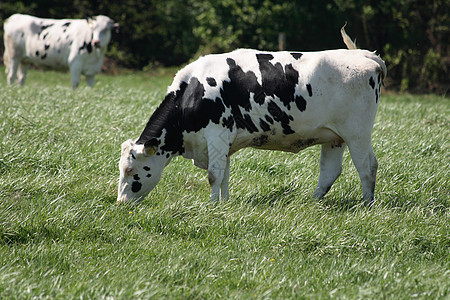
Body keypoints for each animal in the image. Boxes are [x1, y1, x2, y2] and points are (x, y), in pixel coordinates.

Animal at [117, 28, 386, 205]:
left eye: (130, 170)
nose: (120, 203)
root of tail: (363, 55)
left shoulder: (217, 133)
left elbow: (214, 174)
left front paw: (212, 206)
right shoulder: (223, 141)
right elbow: (224, 174)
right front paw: (224, 204)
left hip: (357, 133)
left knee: (367, 166)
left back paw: (366, 204)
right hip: (334, 137)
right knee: (330, 171)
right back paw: (311, 202)